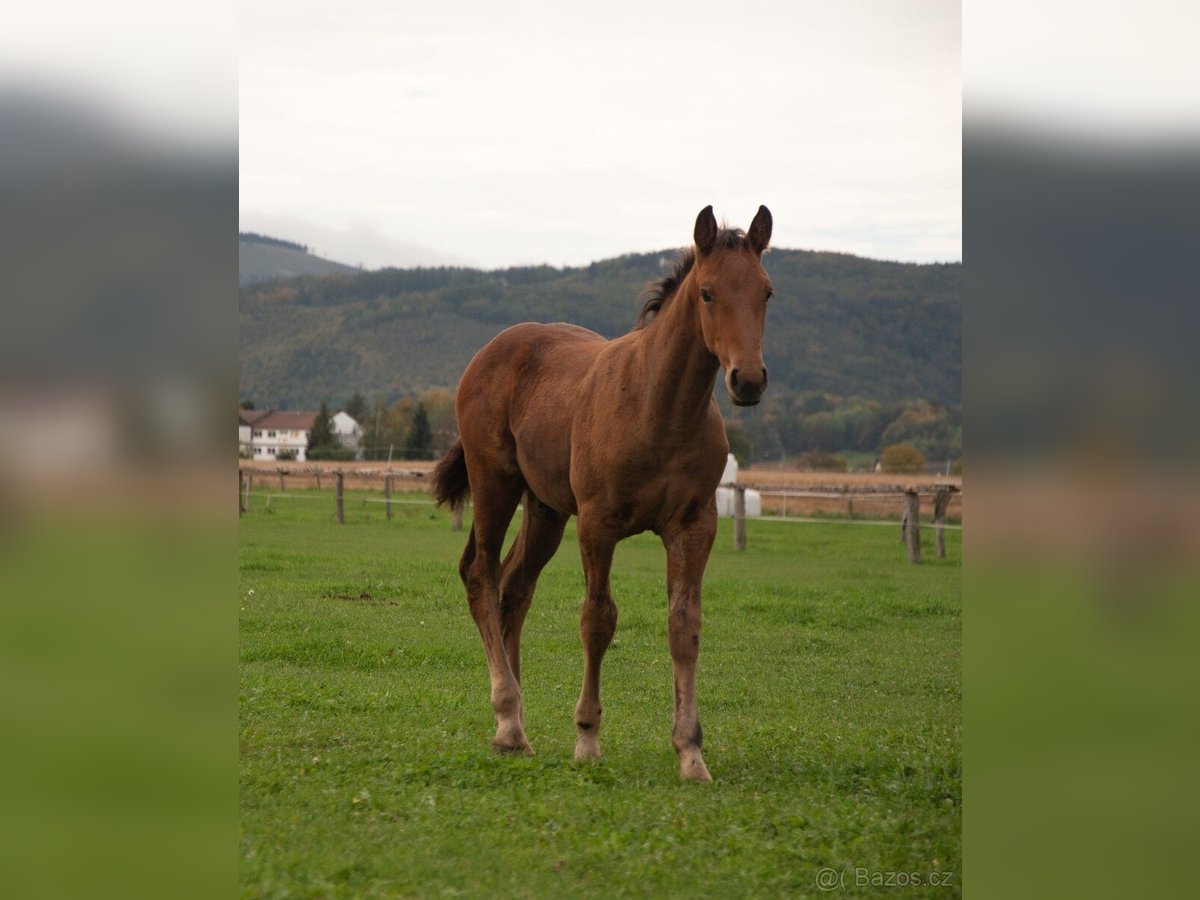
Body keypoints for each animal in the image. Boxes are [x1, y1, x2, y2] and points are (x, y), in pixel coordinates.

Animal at [436, 206, 772, 782]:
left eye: (767, 292)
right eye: (707, 293)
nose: (747, 380)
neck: (659, 409)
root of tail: (491, 350)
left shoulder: (695, 525)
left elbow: (684, 625)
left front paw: (691, 753)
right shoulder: (598, 524)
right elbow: (598, 619)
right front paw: (587, 739)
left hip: (546, 508)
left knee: (514, 588)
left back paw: (518, 722)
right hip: (494, 481)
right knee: (481, 575)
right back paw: (507, 720)